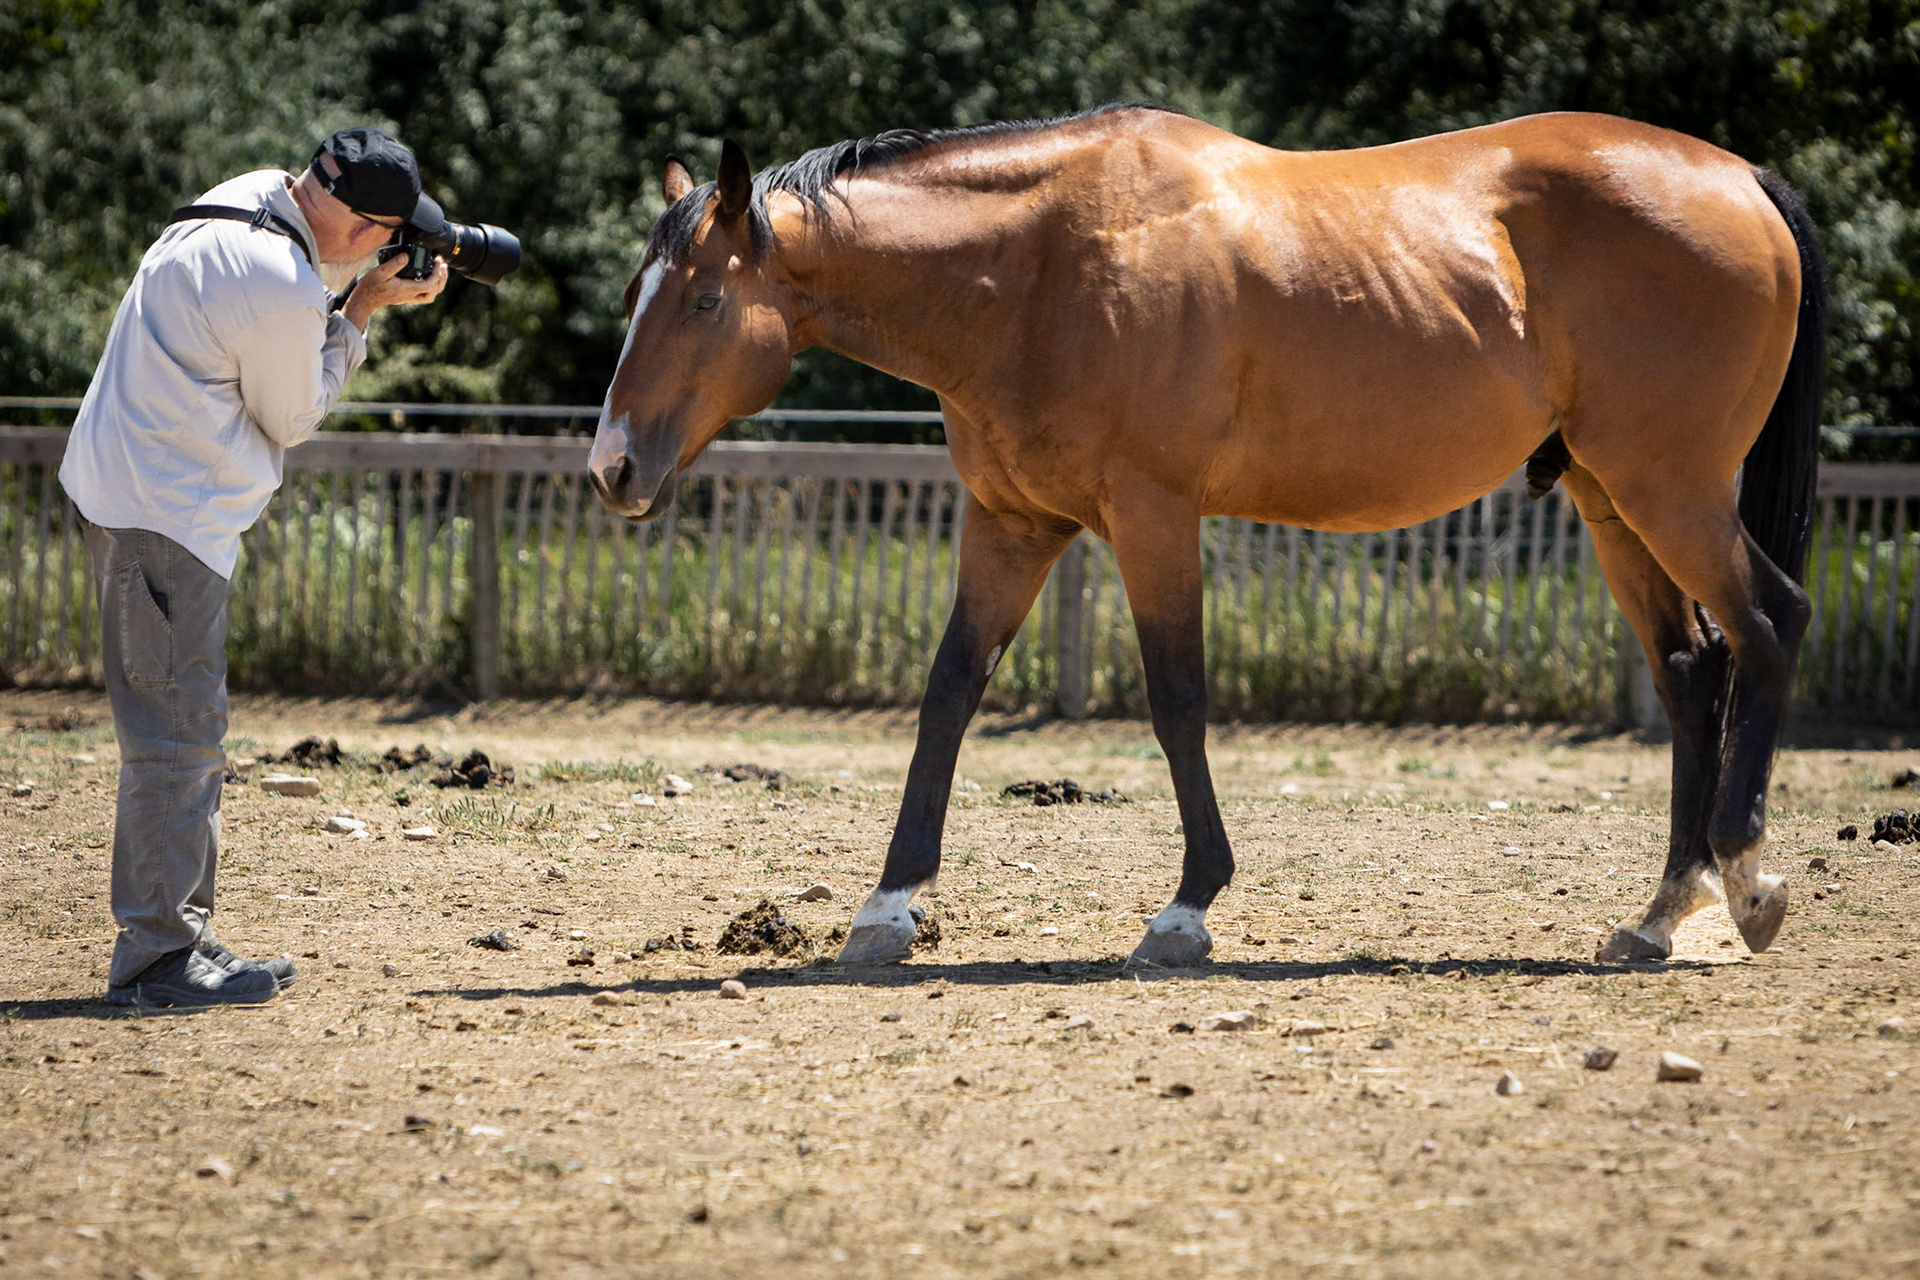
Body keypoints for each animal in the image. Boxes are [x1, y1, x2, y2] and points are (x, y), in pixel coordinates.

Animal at [589, 103, 1826, 968]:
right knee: (1690, 670)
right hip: (1615, 500)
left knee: (1772, 624)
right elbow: (948, 692)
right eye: (634, 295)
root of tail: (1744, 177)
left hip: (1672, 491)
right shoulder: (1011, 523)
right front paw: (888, 906)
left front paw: (1186, 908)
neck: (1042, 266)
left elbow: (1176, 696)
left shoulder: (1153, 514)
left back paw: (1749, 880)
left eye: (703, 300)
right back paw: (1661, 914)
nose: (612, 468)